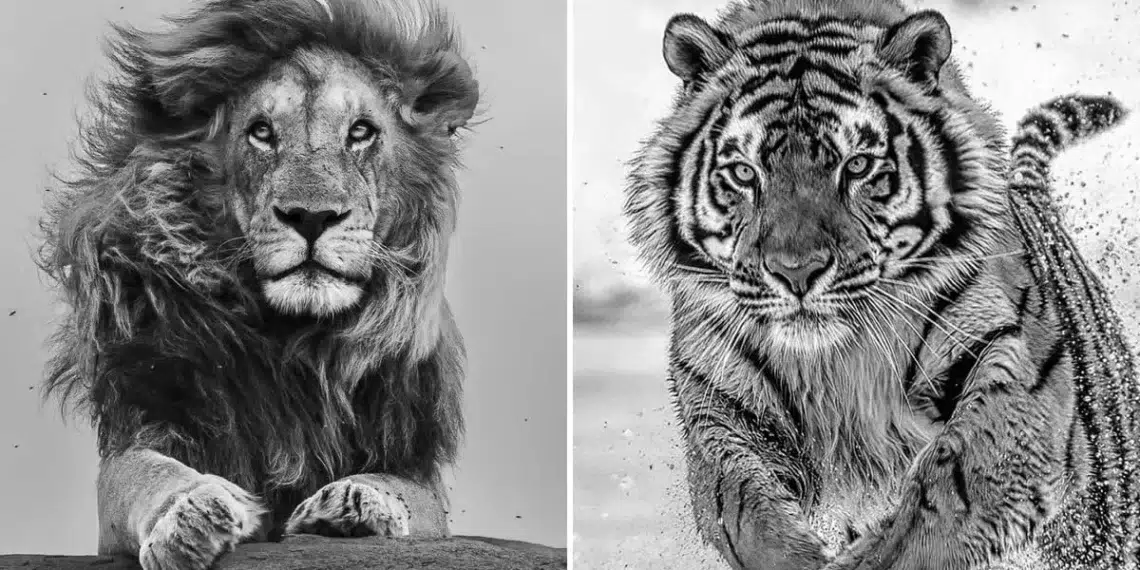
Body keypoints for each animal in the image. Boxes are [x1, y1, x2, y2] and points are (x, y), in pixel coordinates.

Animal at [37, 1, 479, 568]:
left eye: (361, 131)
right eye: (262, 132)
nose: (311, 216)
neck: (292, 340)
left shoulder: (417, 467)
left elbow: (398, 487)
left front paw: (350, 505)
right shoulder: (143, 427)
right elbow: (147, 475)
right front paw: (191, 514)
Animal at [622, 0, 1139, 569]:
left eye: (858, 166)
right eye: (744, 172)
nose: (795, 272)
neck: (837, 361)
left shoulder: (1015, 375)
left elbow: (948, 489)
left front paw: (870, 554)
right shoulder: (723, 408)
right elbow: (738, 502)